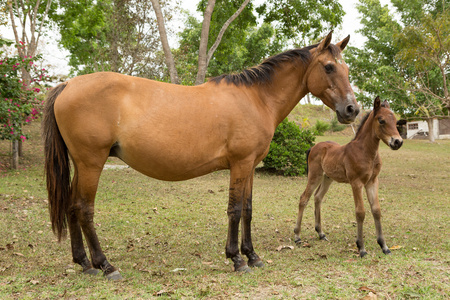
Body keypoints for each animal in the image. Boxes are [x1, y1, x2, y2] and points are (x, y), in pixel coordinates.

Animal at [294, 96, 402, 258]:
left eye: (395, 121)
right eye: (381, 120)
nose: (397, 142)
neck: (366, 152)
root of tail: (313, 147)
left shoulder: (372, 182)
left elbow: (376, 210)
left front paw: (384, 246)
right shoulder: (356, 183)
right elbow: (360, 212)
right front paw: (361, 248)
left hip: (327, 178)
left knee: (318, 197)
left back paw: (320, 233)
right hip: (315, 176)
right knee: (304, 198)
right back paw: (297, 236)